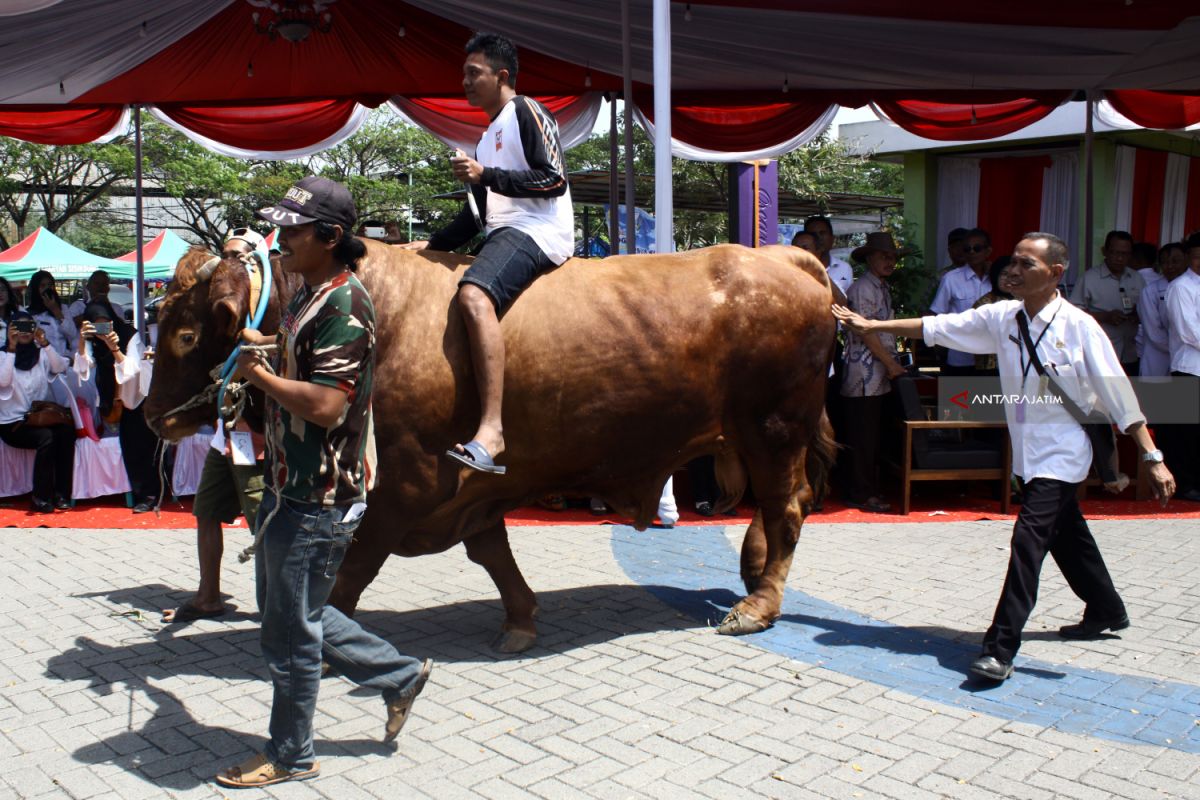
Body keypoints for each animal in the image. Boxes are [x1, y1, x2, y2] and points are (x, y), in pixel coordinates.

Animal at [145, 241, 835, 652]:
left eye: (185, 335)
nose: (152, 417)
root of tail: (785, 256)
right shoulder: (465, 488)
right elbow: (492, 552)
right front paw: (522, 618)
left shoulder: (405, 484)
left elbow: (353, 570)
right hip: (756, 434)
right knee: (782, 503)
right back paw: (752, 572)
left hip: (774, 426)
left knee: (787, 506)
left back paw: (758, 604)